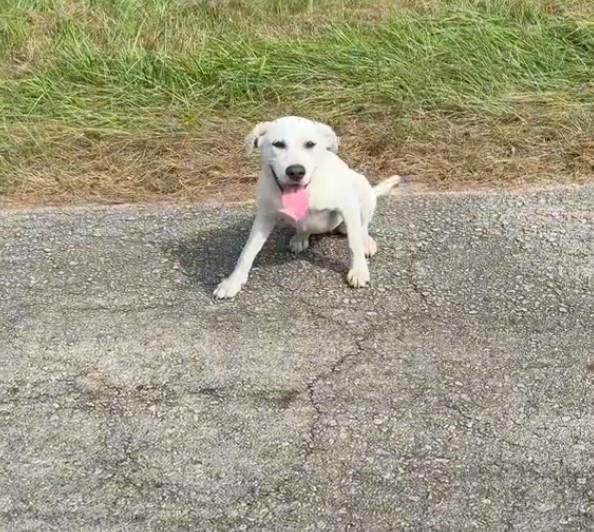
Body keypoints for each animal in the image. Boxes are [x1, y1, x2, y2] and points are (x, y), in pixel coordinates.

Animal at [212, 116, 398, 300]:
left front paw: (359, 271)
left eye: (310, 144)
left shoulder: (348, 206)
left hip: (363, 189)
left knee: (362, 227)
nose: (296, 171)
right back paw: (300, 237)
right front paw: (233, 282)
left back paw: (367, 242)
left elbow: (354, 243)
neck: (309, 189)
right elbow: (247, 251)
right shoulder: (265, 216)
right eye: (278, 144)